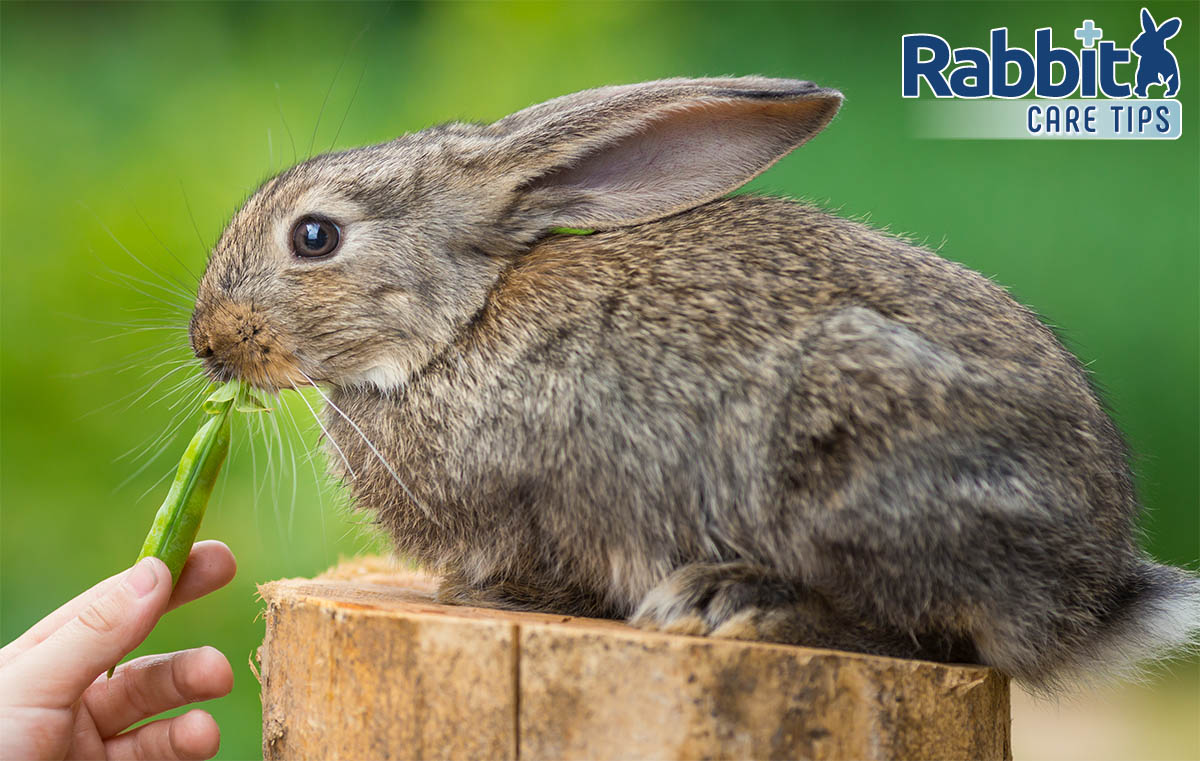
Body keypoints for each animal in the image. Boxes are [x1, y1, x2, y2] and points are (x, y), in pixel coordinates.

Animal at [189, 76, 1200, 686]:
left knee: (931, 634)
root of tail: (1088, 592)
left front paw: (483, 597)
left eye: (314, 236)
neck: (453, 331)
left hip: (850, 451)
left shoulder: (553, 501)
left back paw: (736, 599)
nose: (209, 341)